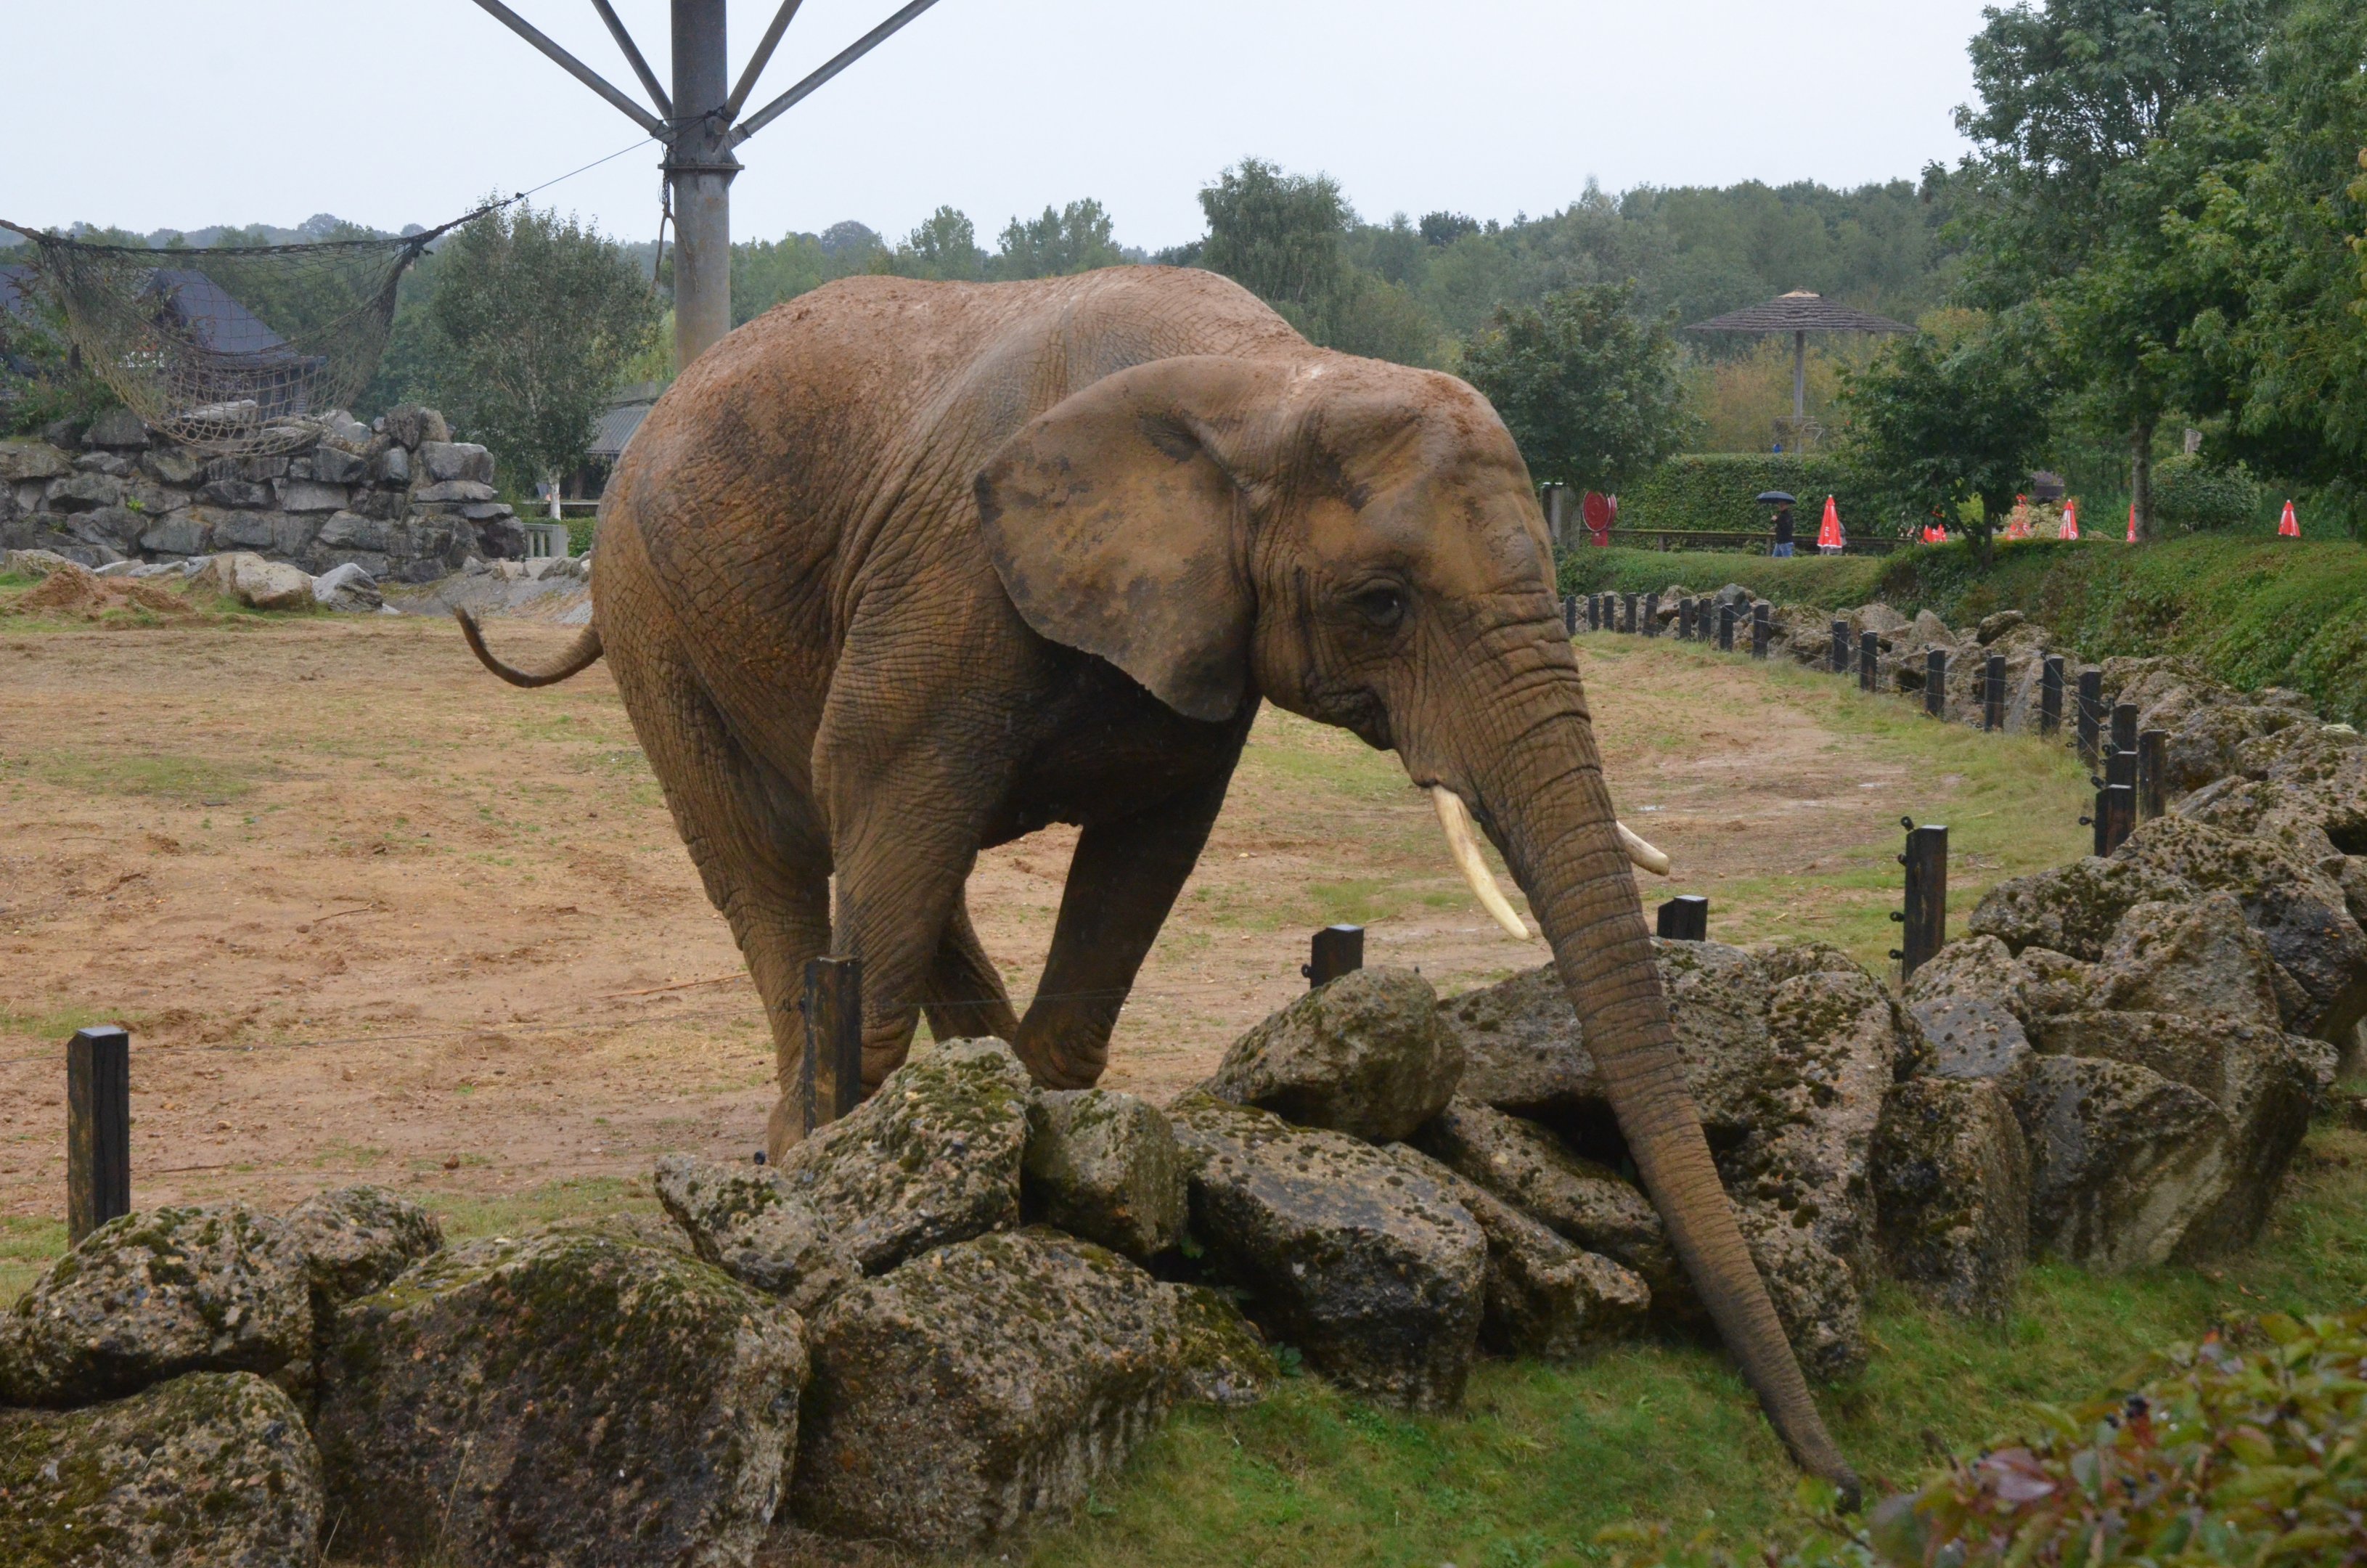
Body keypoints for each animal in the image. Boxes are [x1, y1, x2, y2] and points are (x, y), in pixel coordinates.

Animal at [457, 265, 1855, 1495]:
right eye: (1383, 603)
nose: (1836, 1483)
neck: (1270, 380)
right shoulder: (950, 573)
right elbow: (883, 784)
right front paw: (847, 1180)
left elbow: (1146, 851)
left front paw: (1052, 1144)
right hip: (651, 608)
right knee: (783, 862)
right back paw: (802, 1130)